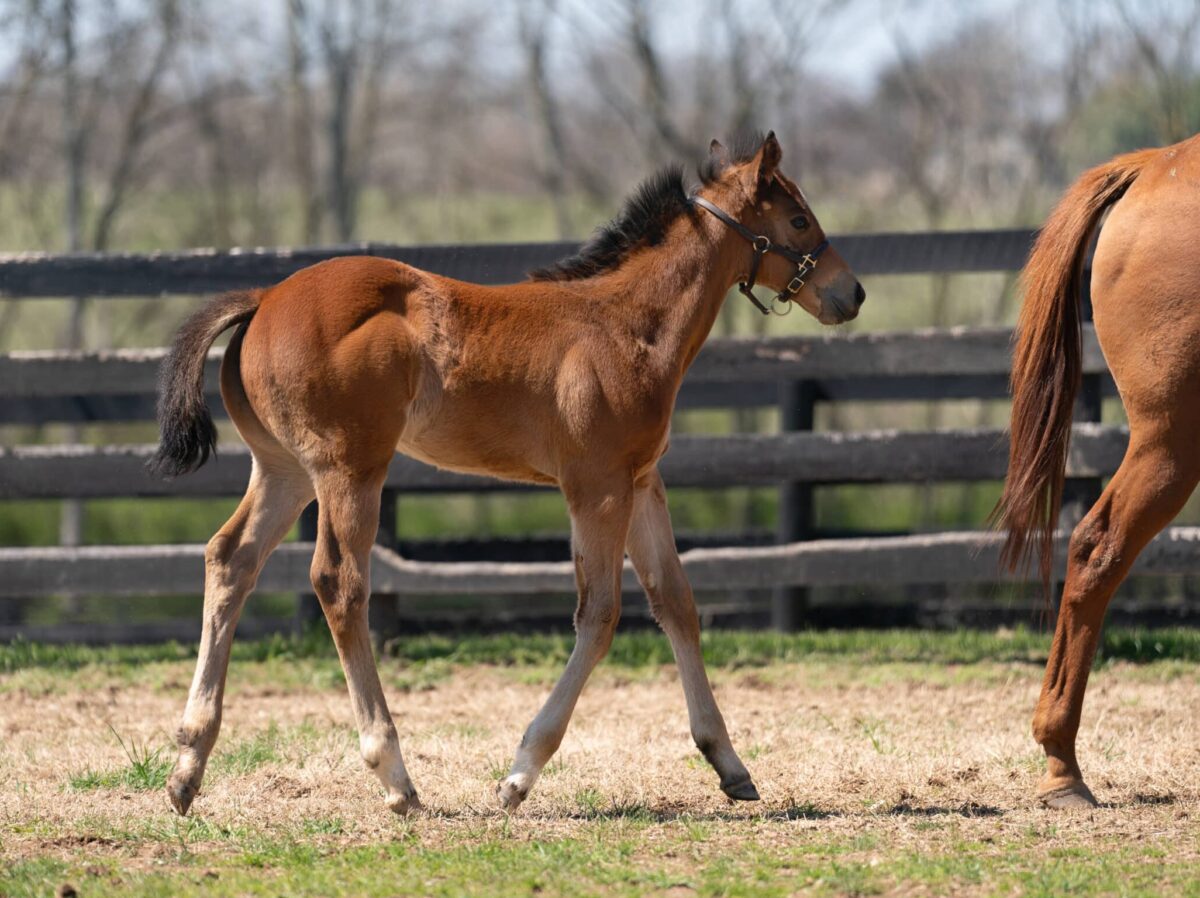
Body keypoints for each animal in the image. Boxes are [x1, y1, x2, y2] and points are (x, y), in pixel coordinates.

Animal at [152, 131, 864, 811]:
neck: (625, 327)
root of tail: (264, 297)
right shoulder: (596, 487)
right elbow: (600, 613)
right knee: (338, 582)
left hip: (284, 470)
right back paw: (395, 778)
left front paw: (729, 764)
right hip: (349, 467)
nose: (851, 292)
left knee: (230, 559)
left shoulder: (640, 481)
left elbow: (676, 602)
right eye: (799, 219)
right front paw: (519, 775)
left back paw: (188, 765)